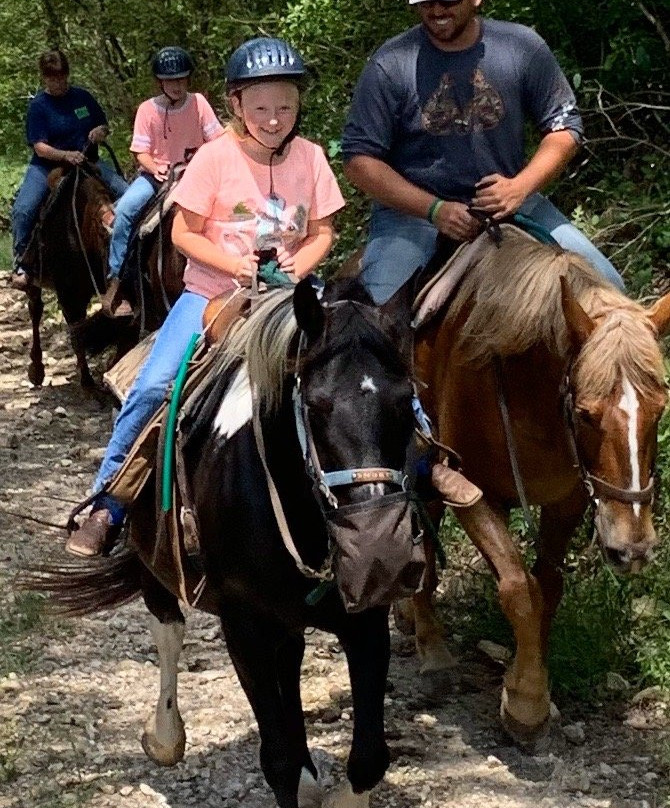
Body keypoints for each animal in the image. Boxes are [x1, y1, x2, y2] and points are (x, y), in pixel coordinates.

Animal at [404, 226, 670, 744]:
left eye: (660, 410)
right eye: (585, 413)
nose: (632, 549)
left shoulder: (568, 500)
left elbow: (548, 586)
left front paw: (535, 686)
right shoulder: (469, 489)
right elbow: (518, 588)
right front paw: (524, 703)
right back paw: (432, 651)